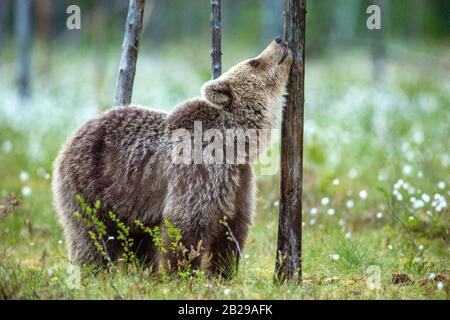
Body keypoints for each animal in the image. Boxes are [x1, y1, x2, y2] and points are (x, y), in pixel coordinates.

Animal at [52, 38, 294, 276]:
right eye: (254, 61)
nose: (280, 40)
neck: (234, 145)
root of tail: (69, 140)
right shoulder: (198, 172)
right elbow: (187, 225)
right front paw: (183, 274)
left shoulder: (238, 180)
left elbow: (232, 230)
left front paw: (222, 273)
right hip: (91, 186)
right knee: (92, 236)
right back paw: (94, 272)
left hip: (131, 202)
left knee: (139, 241)